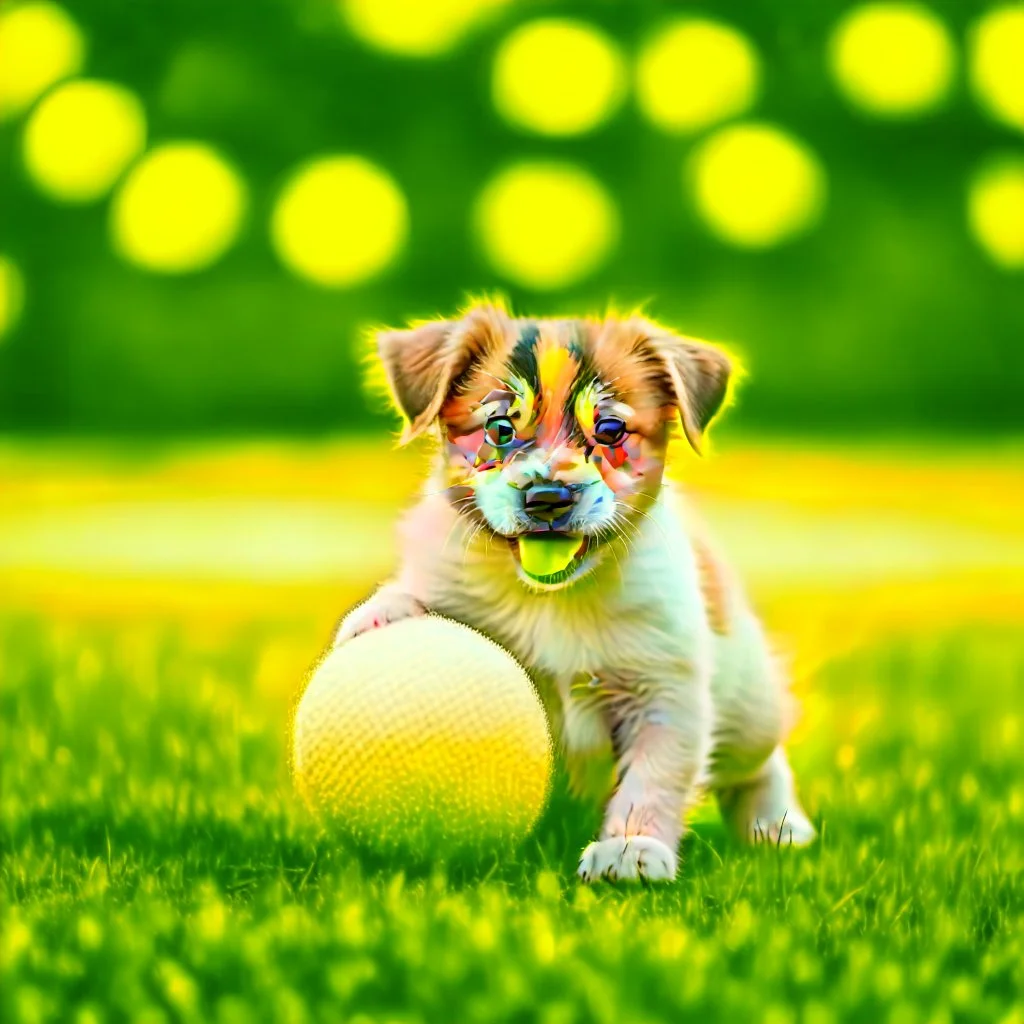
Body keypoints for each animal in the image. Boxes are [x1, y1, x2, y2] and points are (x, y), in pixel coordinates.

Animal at [335, 301, 815, 880]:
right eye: (499, 429)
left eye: (609, 430)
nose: (548, 498)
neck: (551, 598)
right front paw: (383, 611)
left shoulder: (664, 692)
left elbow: (652, 778)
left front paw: (632, 847)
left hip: (748, 712)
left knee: (762, 762)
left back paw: (776, 825)